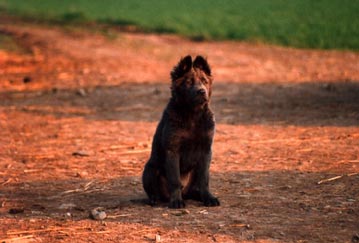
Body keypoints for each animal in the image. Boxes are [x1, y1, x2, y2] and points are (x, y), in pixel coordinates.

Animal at [143, 55, 221, 209]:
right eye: (189, 82)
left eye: (204, 81)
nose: (201, 91)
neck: (193, 115)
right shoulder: (173, 150)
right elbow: (175, 180)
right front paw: (176, 201)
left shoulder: (206, 151)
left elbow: (204, 179)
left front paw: (208, 198)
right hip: (150, 169)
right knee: (154, 192)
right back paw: (155, 200)